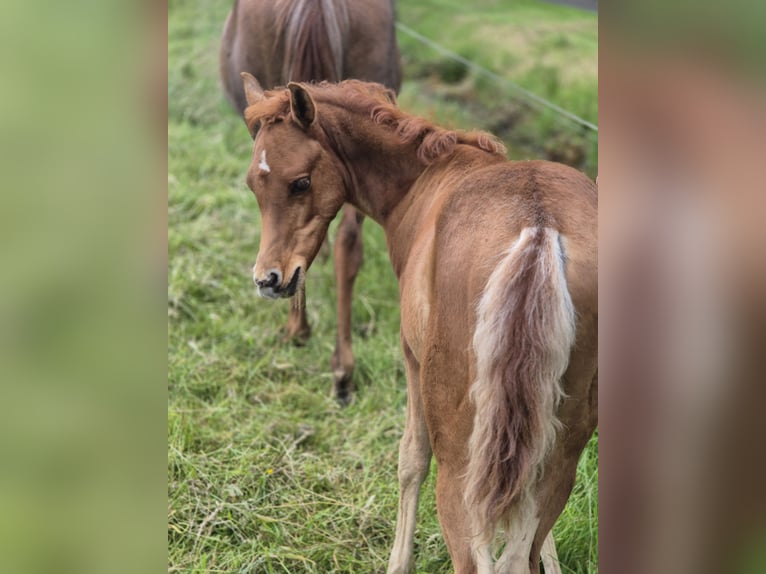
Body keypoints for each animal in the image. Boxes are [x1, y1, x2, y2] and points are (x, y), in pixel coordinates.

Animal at [220, 0, 404, 404]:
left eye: (301, 183)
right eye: (250, 187)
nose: (266, 282)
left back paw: (300, 332)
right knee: (348, 244)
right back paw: (343, 370)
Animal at [240, 77, 600, 574]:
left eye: (301, 182)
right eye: (253, 183)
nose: (268, 279)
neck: (423, 183)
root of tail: (539, 229)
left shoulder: (411, 358)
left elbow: (410, 458)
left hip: (462, 460)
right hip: (562, 443)